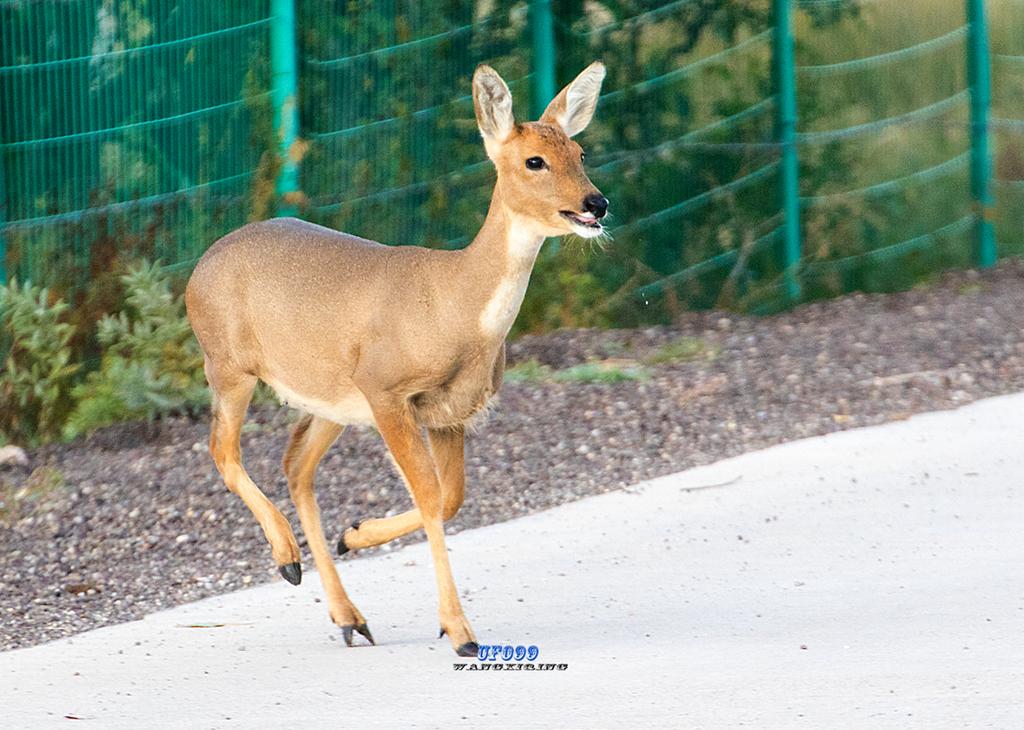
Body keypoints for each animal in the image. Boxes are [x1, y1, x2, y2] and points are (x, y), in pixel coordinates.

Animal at [184, 62, 606, 655]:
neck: (453, 306)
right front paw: (460, 632)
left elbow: (451, 498)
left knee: (295, 465)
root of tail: (197, 270)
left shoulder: (449, 412)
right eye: (534, 160)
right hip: (229, 364)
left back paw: (348, 615)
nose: (596, 204)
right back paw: (288, 560)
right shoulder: (386, 389)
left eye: (581, 152)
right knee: (223, 448)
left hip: (330, 397)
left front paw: (356, 533)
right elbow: (431, 496)